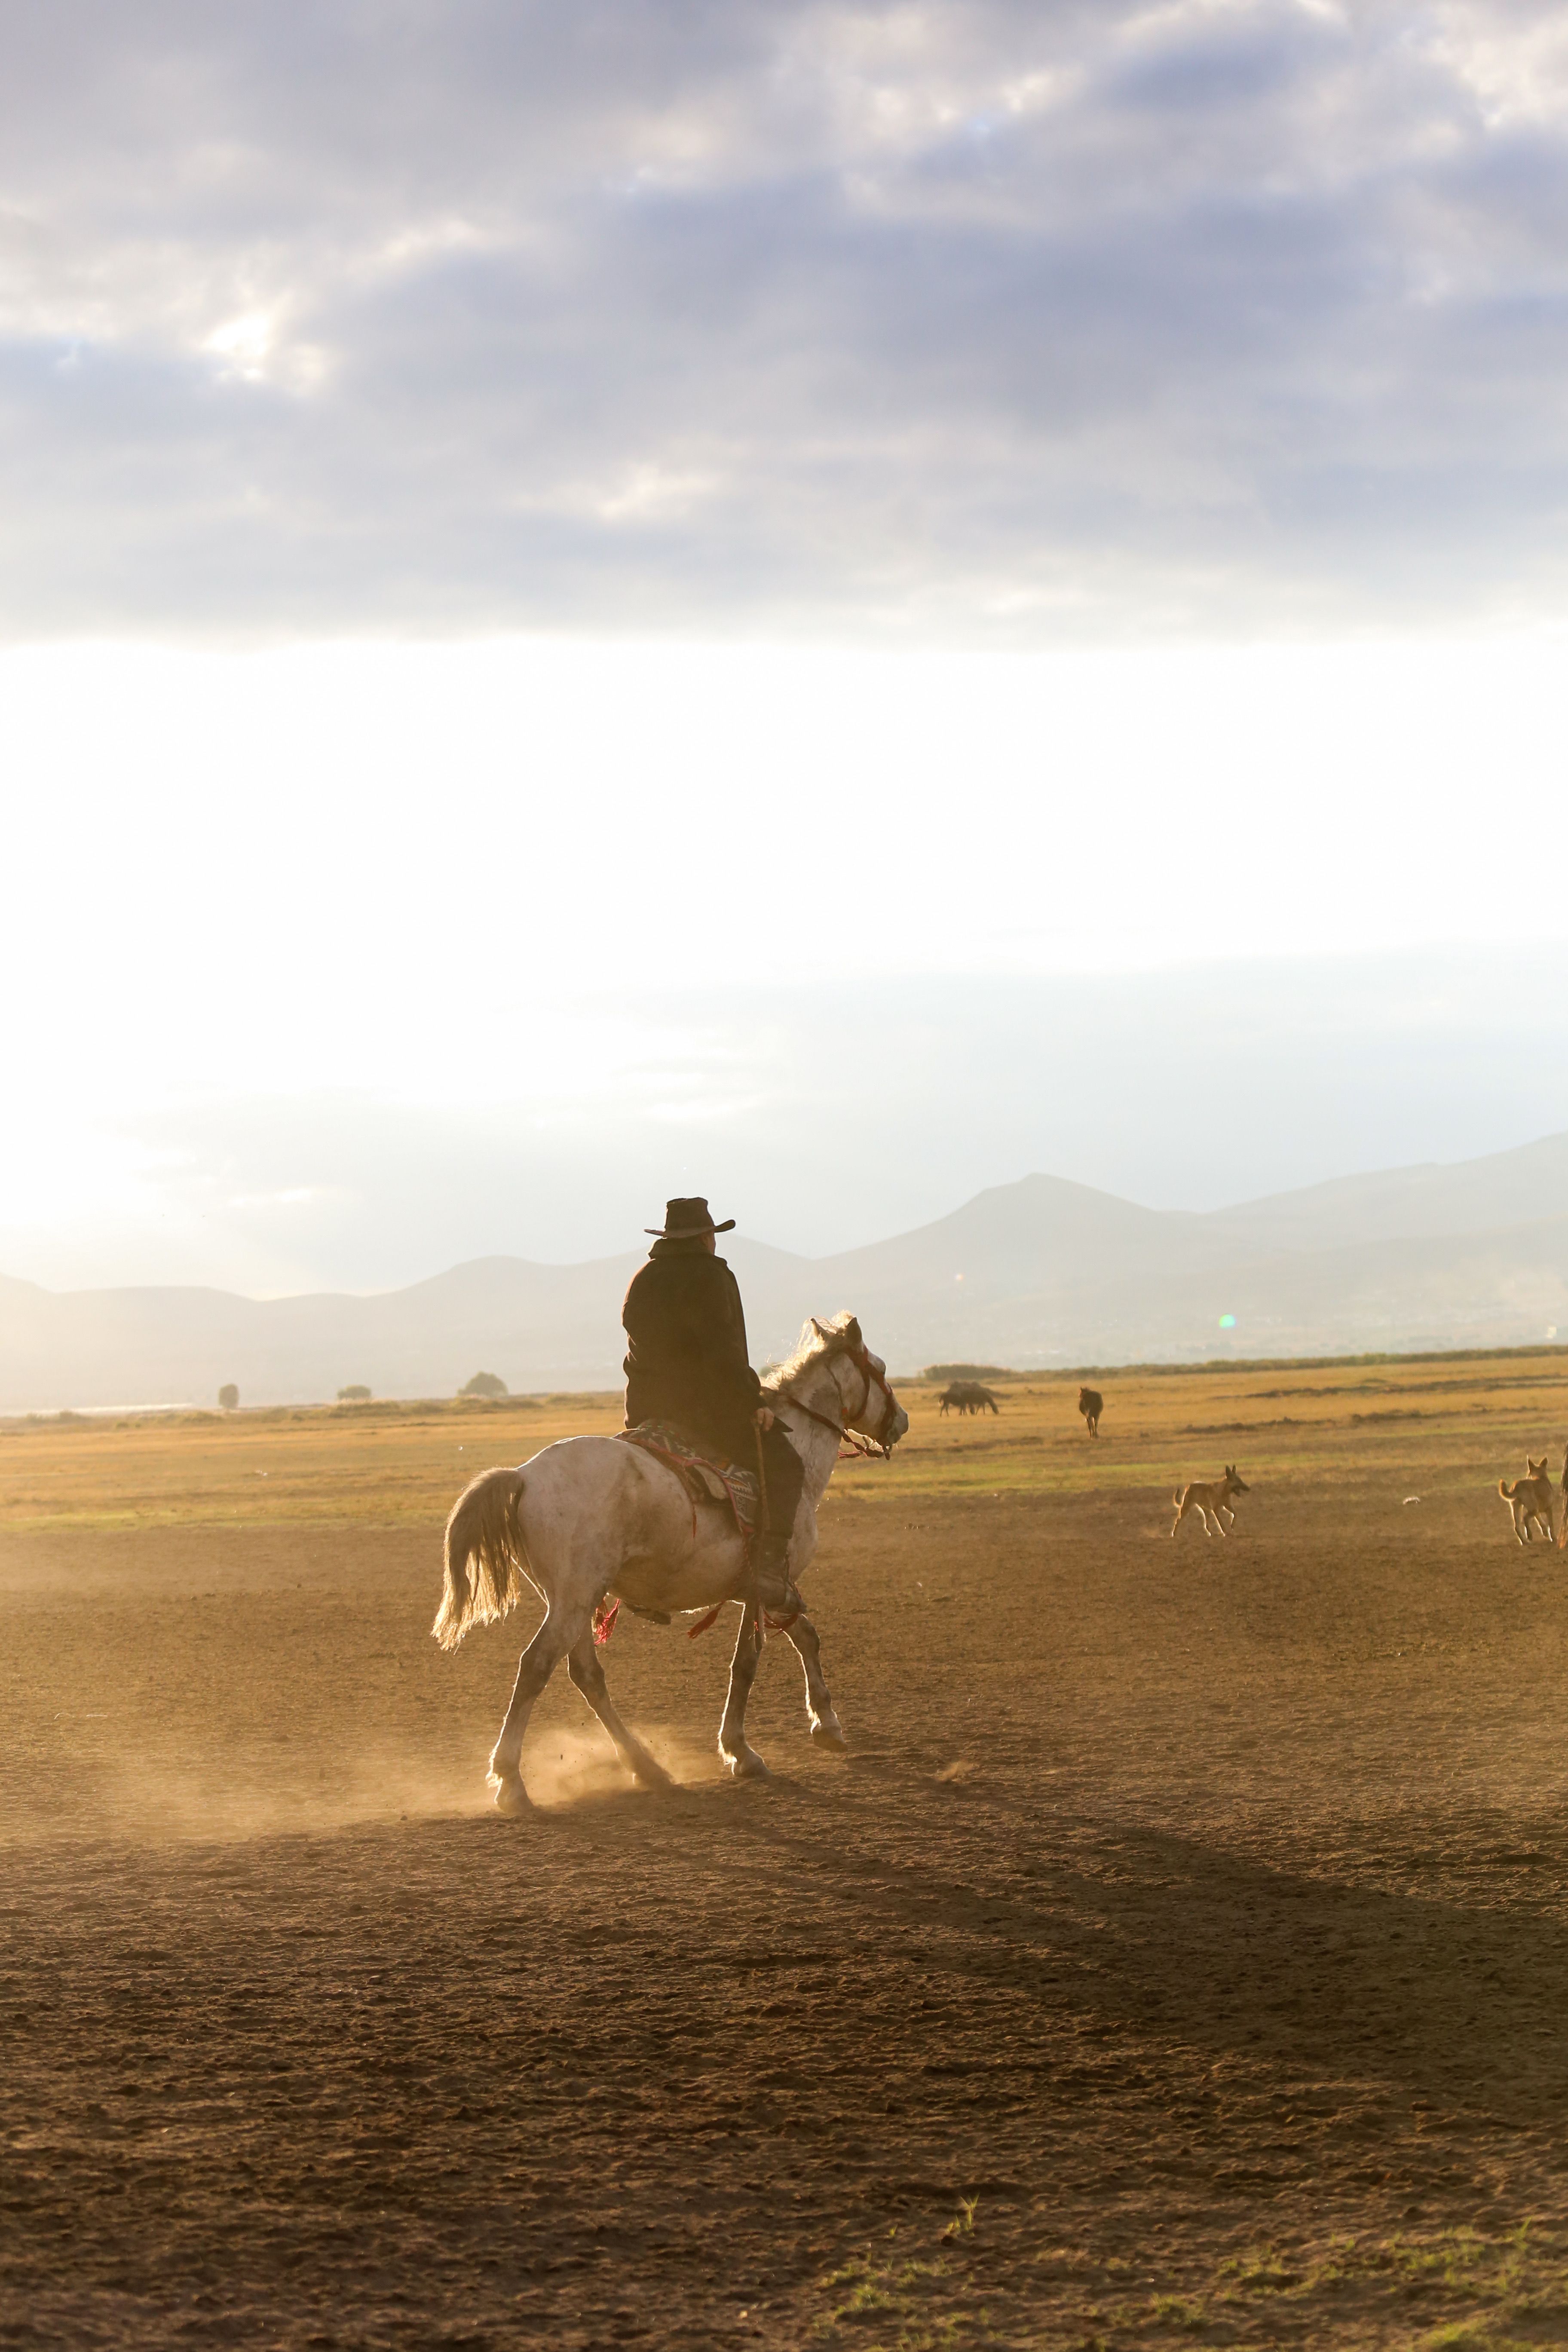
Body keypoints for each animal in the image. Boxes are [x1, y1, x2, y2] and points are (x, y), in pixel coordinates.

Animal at [432, 1313, 908, 1812]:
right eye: (880, 1368)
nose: (902, 1423)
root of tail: (523, 1476)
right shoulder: (769, 1586)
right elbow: (750, 1662)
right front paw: (745, 1751)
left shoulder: (768, 1591)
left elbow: (804, 1638)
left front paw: (823, 1726)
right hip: (573, 1601)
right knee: (535, 1668)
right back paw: (511, 1781)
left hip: (572, 1602)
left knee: (586, 1675)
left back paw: (645, 1767)